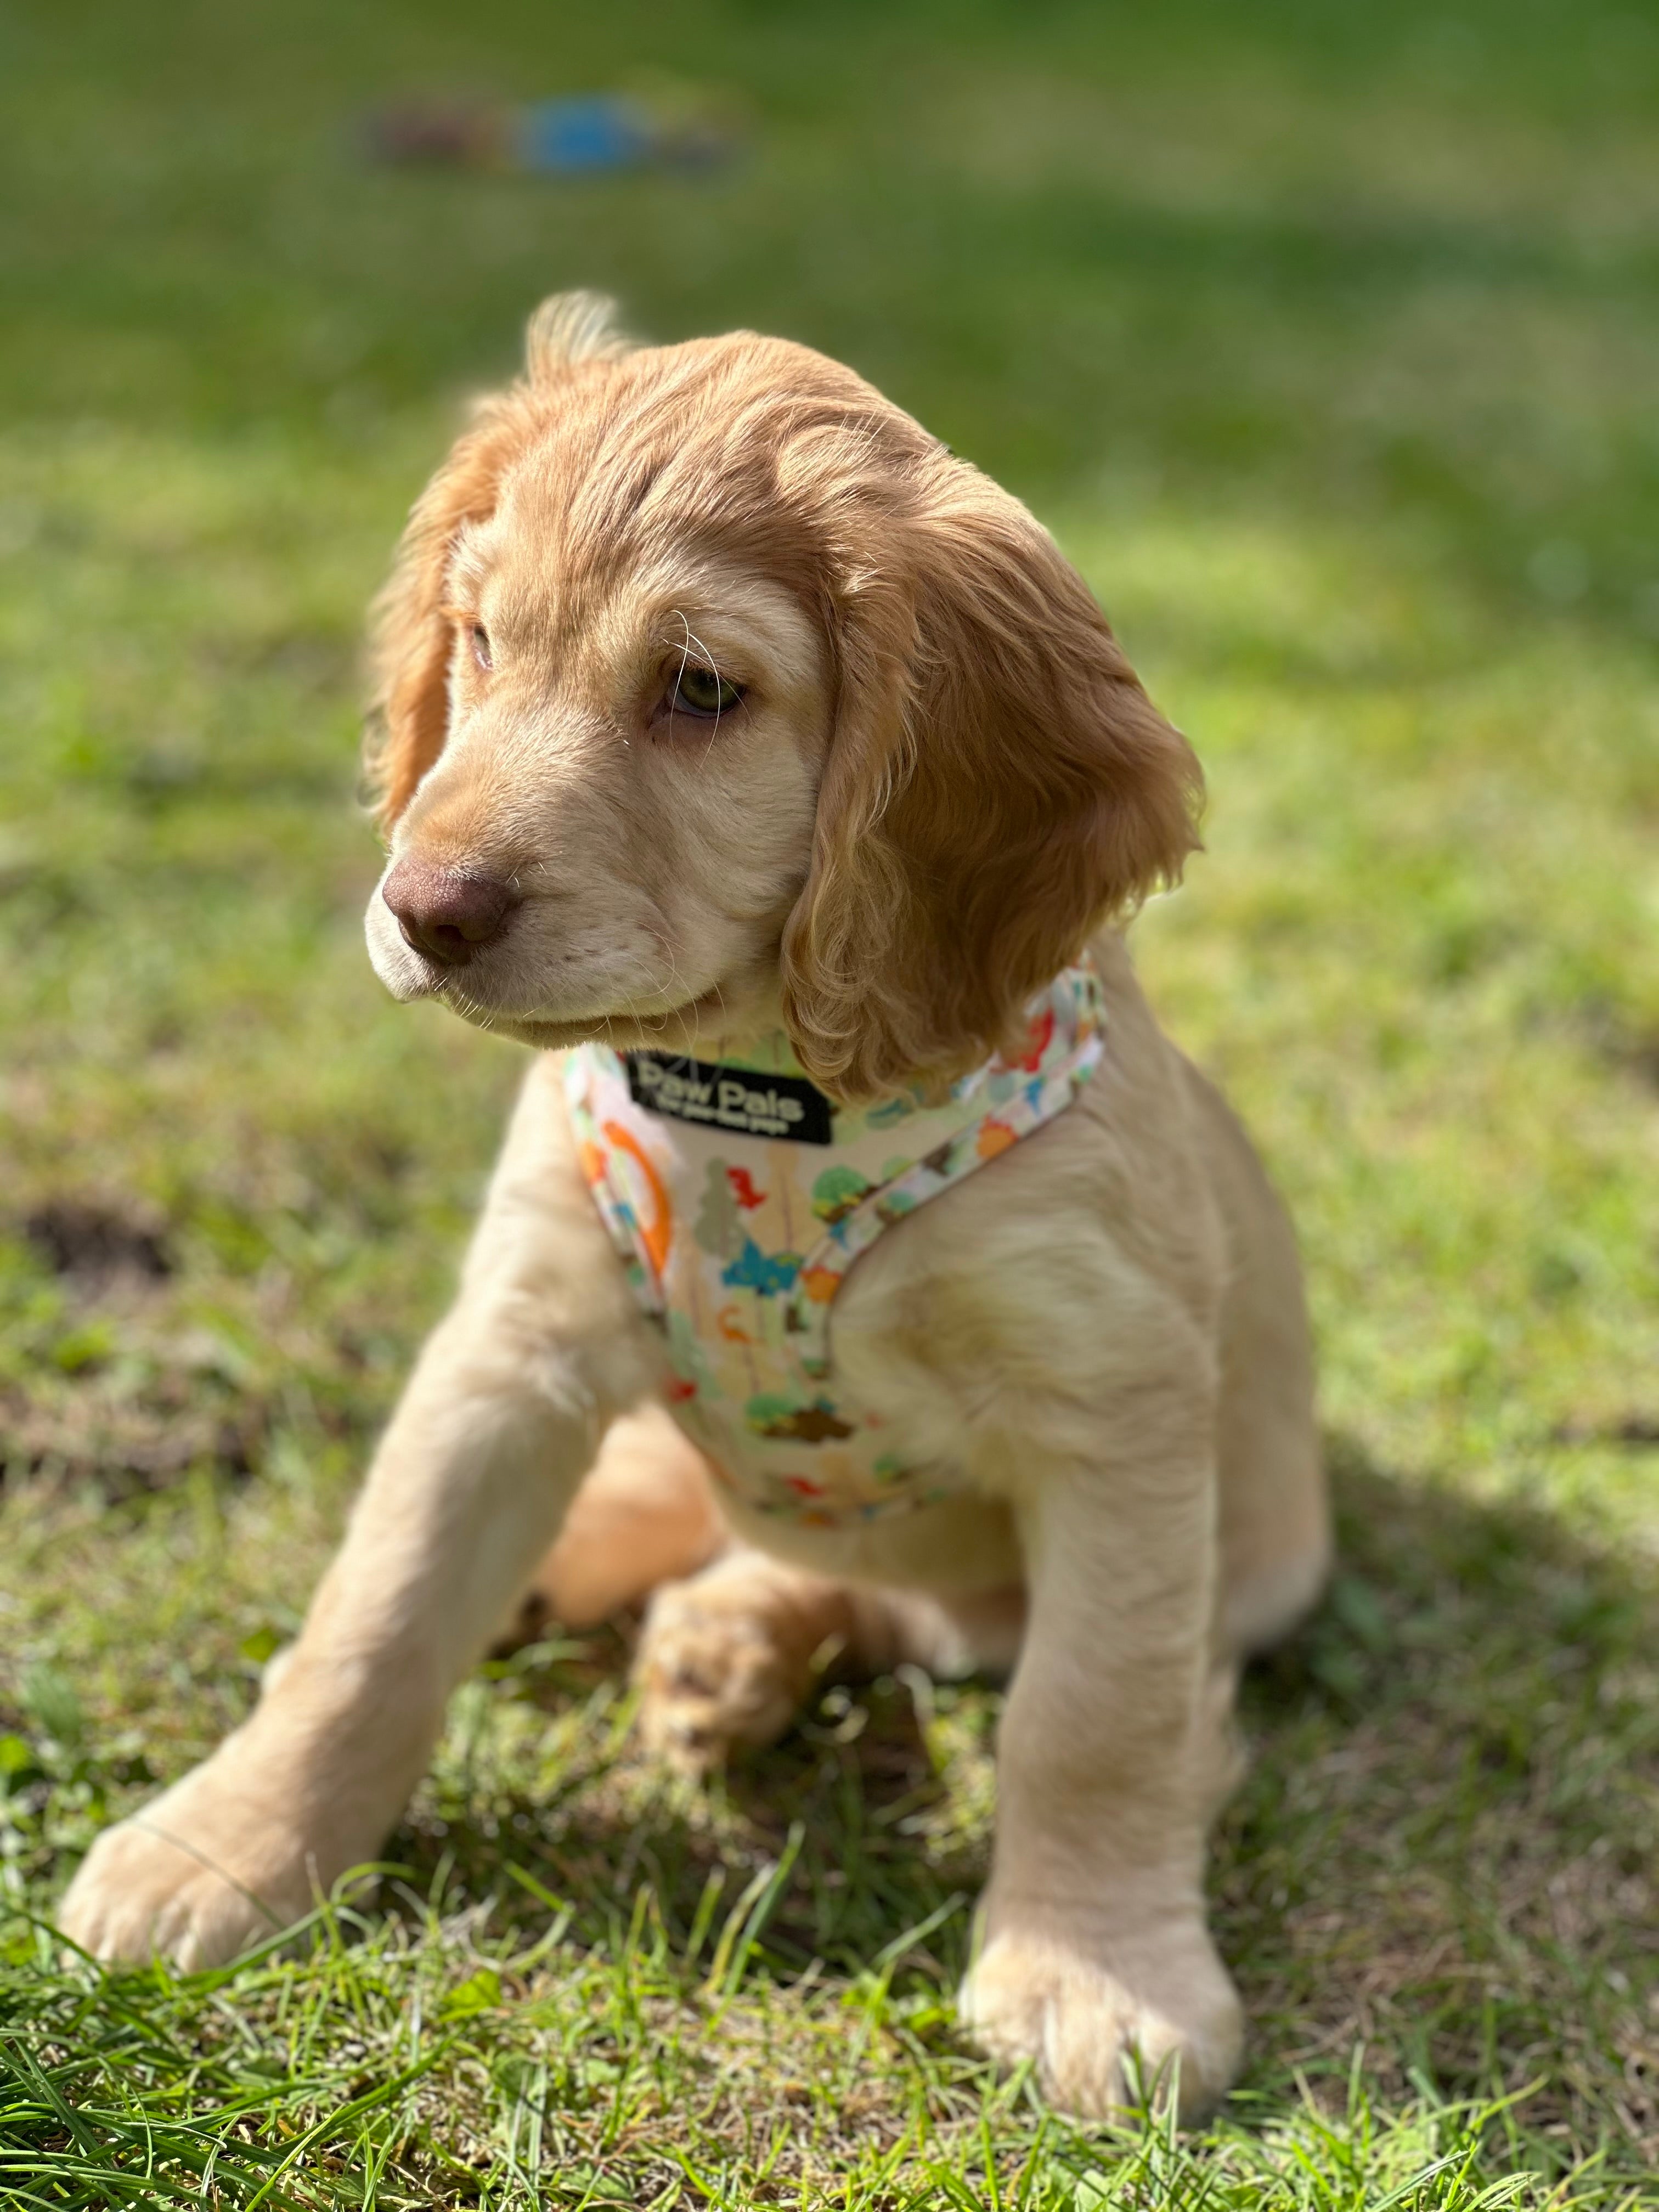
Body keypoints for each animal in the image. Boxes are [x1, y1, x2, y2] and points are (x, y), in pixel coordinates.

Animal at [65, 298, 1336, 2123]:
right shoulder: (513, 1345)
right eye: (480, 640)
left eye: (703, 691)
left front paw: (1094, 1977)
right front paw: (223, 1849)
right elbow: (373, 1618)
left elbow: (1096, 1713)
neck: (759, 1102)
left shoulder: (1116, 1403)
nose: (422, 908)